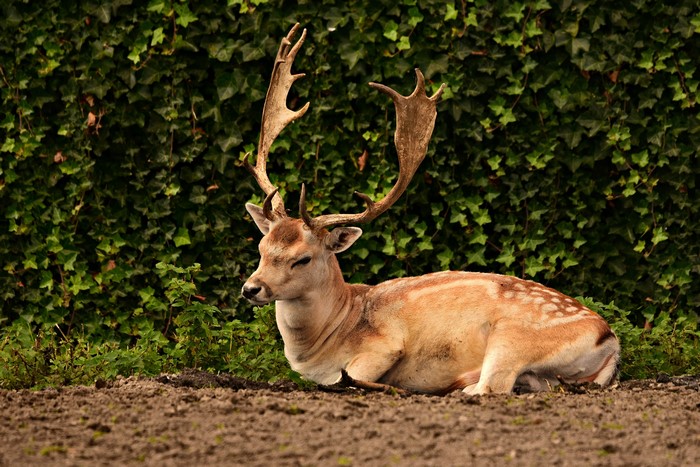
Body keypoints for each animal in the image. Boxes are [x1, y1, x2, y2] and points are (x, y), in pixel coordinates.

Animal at [241, 23, 620, 395]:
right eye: (261, 247)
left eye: (303, 258)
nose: (250, 288)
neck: (332, 332)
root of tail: (610, 341)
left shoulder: (384, 345)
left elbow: (350, 373)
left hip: (513, 336)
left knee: (492, 386)